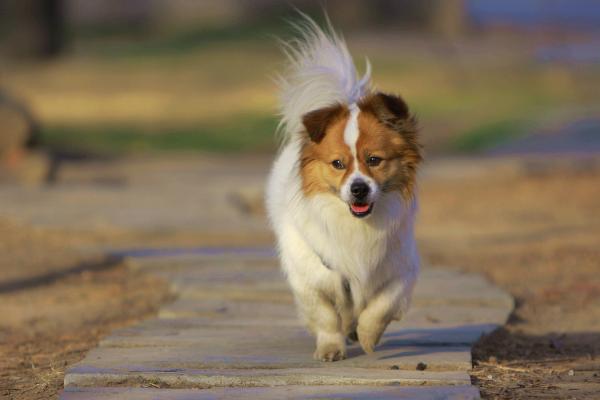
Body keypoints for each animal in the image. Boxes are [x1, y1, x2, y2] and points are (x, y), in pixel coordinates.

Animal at [268, 14, 422, 362]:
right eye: (338, 164)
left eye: (374, 160)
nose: (359, 189)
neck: (356, 225)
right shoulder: (311, 275)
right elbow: (324, 314)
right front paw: (330, 347)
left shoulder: (400, 269)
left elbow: (381, 306)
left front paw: (367, 336)